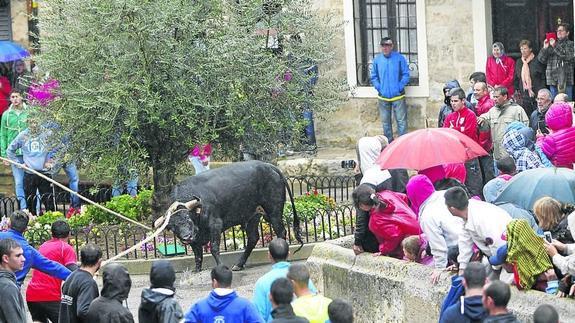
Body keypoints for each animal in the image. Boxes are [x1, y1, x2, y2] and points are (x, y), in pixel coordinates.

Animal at [155, 161, 304, 270]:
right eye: (173, 226)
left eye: (187, 218)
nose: (186, 237)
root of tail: (269, 166)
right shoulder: (195, 237)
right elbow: (197, 253)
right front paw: (197, 269)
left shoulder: (215, 224)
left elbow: (214, 248)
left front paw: (221, 266)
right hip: (253, 216)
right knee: (253, 238)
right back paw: (238, 264)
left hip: (274, 211)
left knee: (281, 231)